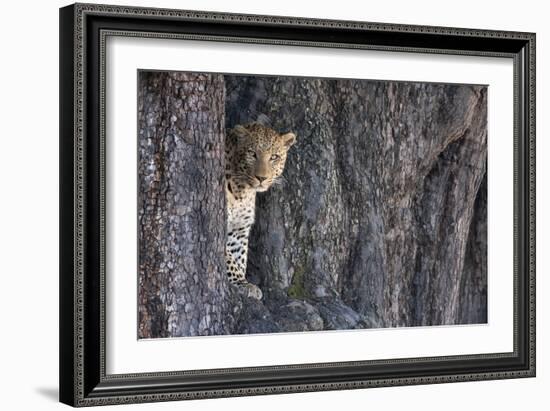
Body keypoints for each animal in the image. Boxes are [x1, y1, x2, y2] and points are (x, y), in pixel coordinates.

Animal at [225, 122, 298, 300]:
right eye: (252, 154)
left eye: (274, 157)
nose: (262, 178)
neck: (242, 191)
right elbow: (229, 258)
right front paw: (242, 283)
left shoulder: (239, 229)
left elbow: (239, 257)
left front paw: (242, 282)